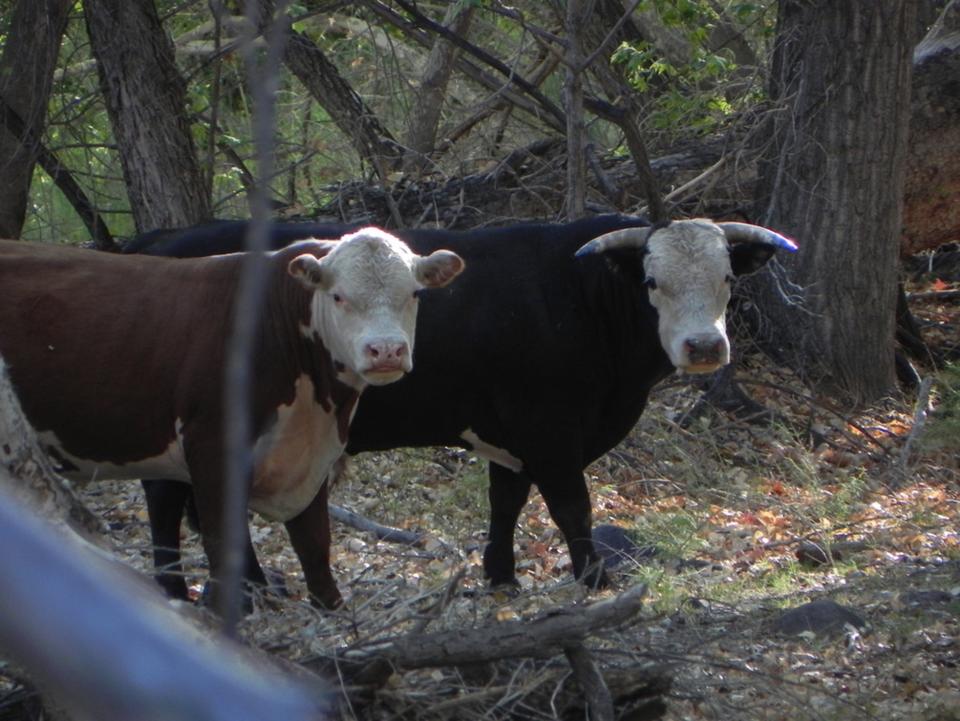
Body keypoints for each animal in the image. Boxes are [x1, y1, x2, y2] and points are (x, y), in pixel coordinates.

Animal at [0, 229, 464, 608]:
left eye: (414, 294)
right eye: (339, 296)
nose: (386, 350)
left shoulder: (310, 459)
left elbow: (314, 543)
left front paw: (330, 607)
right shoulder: (212, 447)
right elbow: (224, 539)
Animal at [127, 215, 788, 600]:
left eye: (728, 277)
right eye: (652, 283)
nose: (704, 346)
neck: (578, 298)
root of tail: (163, 239)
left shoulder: (512, 437)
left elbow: (506, 503)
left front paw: (501, 575)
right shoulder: (550, 430)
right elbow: (572, 507)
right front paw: (594, 577)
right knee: (169, 498)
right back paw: (184, 587)